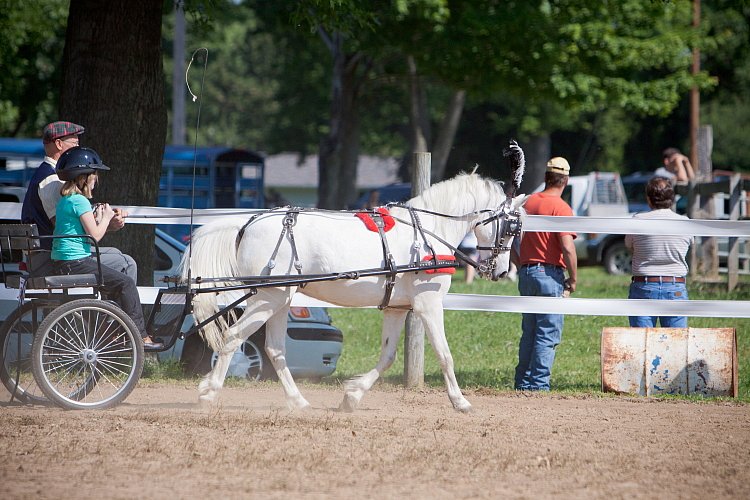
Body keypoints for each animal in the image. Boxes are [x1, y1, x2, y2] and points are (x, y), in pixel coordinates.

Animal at [183, 170, 528, 412]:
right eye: (512, 228)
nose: (499, 271)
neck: (428, 233)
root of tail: (246, 224)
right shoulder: (428, 304)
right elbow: (445, 354)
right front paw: (461, 402)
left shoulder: (397, 308)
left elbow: (387, 356)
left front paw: (352, 396)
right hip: (268, 298)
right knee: (233, 338)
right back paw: (208, 394)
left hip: (279, 299)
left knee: (275, 350)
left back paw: (298, 402)